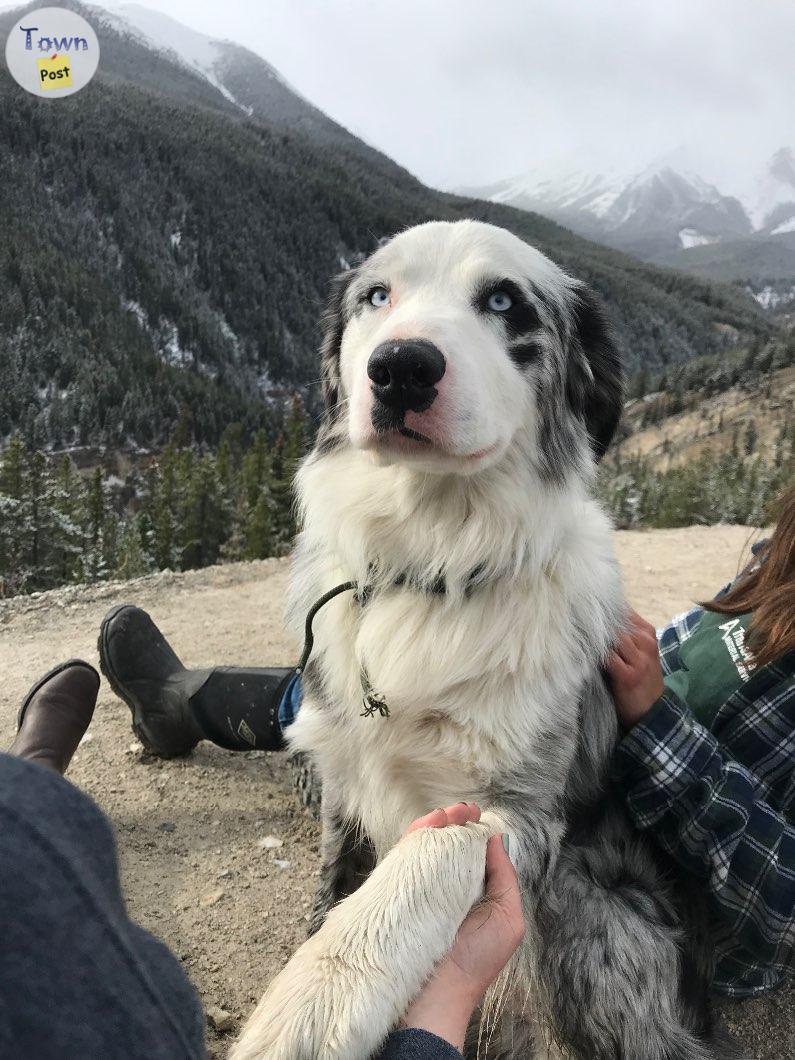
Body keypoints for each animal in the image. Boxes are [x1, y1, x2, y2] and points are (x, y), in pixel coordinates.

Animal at [233, 217, 737, 1060]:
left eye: (504, 301)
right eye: (377, 295)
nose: (400, 367)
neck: (433, 564)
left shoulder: (516, 814)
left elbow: (426, 858)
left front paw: (314, 1000)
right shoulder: (343, 779)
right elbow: (335, 882)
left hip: (586, 914)